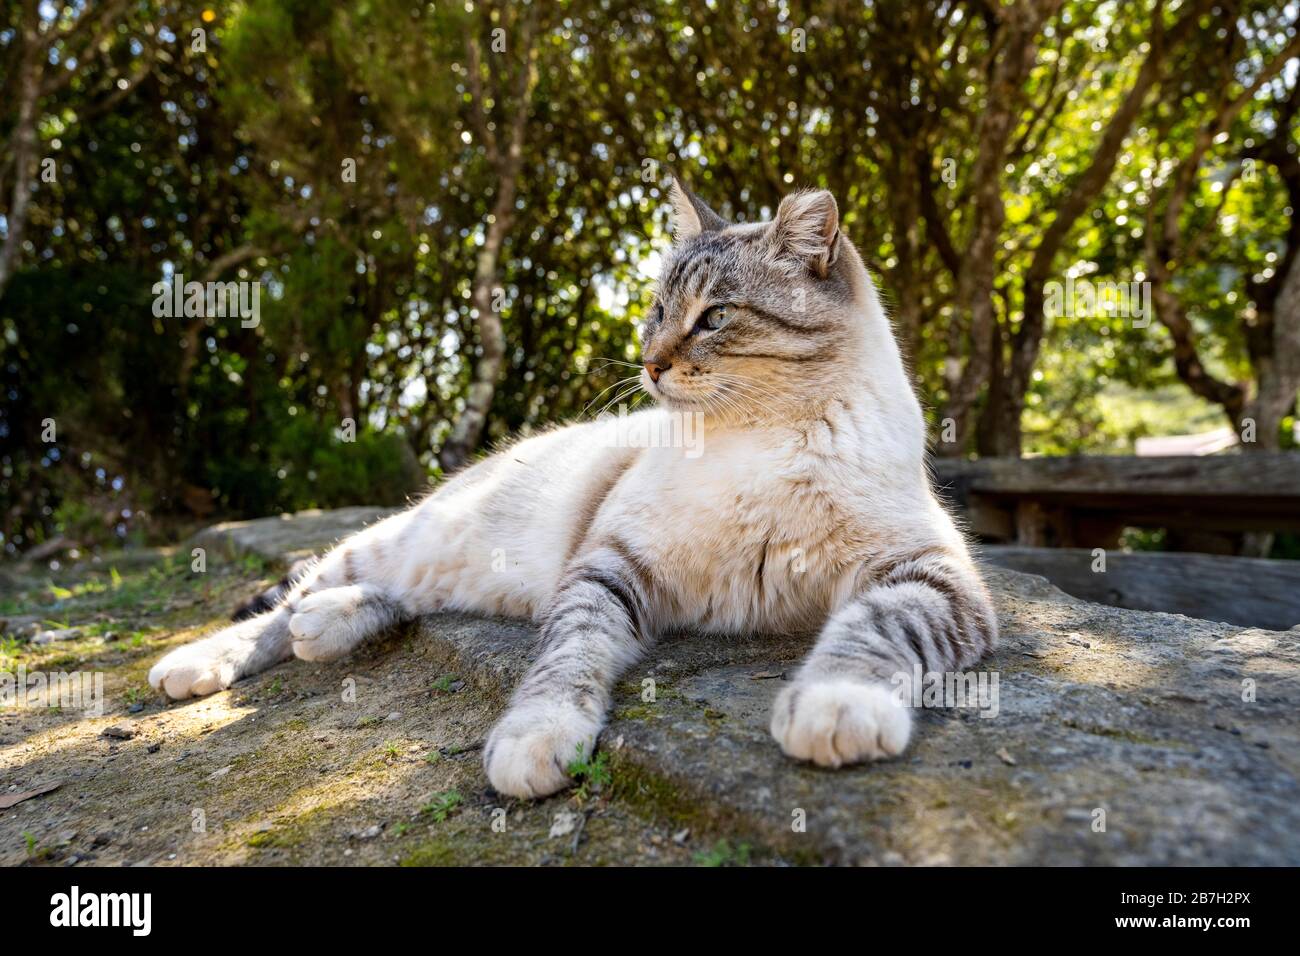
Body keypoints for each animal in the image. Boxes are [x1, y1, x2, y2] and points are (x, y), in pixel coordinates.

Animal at [154, 179, 1003, 801]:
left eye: (714, 317)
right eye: (658, 309)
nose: (651, 361)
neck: (751, 437)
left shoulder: (930, 576)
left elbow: (870, 632)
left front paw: (835, 710)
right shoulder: (610, 564)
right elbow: (569, 655)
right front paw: (537, 742)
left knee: (391, 600)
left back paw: (326, 628)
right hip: (402, 538)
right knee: (291, 603)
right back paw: (197, 664)